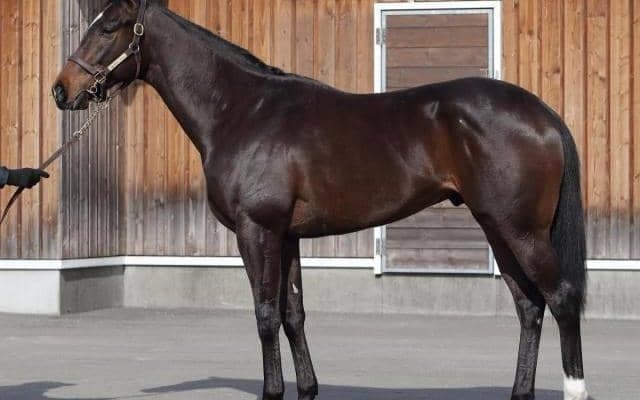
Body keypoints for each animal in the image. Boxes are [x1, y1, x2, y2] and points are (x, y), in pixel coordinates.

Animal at [52, 1, 588, 399]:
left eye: (109, 28)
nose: (62, 90)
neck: (242, 111)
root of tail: (543, 114)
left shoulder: (257, 230)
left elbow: (266, 315)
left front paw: (273, 390)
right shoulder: (287, 236)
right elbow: (293, 315)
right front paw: (307, 387)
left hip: (520, 230)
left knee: (560, 299)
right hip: (497, 227)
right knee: (529, 307)